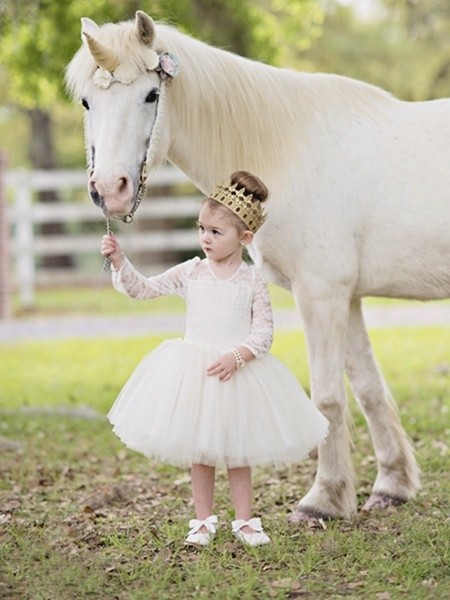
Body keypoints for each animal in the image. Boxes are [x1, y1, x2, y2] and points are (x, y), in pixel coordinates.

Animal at [65, 11, 448, 524]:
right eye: (88, 101)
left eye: (150, 95)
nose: (110, 189)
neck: (289, 150)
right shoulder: (346, 298)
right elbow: (368, 389)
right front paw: (392, 487)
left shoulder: (321, 294)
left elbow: (328, 397)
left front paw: (322, 500)